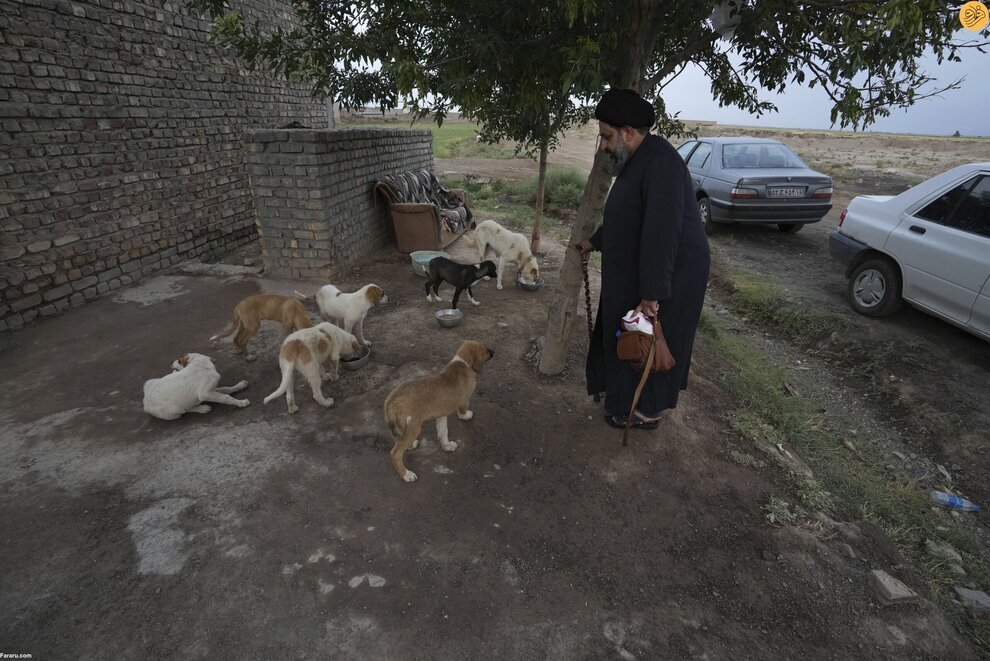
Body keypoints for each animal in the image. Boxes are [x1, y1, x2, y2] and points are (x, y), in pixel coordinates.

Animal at [386, 338, 496, 482]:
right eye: (486, 349)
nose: (494, 352)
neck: (463, 362)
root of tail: (392, 402)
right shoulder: (464, 400)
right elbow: (462, 411)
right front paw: (466, 416)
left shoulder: (441, 415)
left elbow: (443, 432)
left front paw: (447, 446)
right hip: (413, 427)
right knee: (395, 453)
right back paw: (406, 474)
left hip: (402, 428)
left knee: (399, 441)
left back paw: (410, 445)